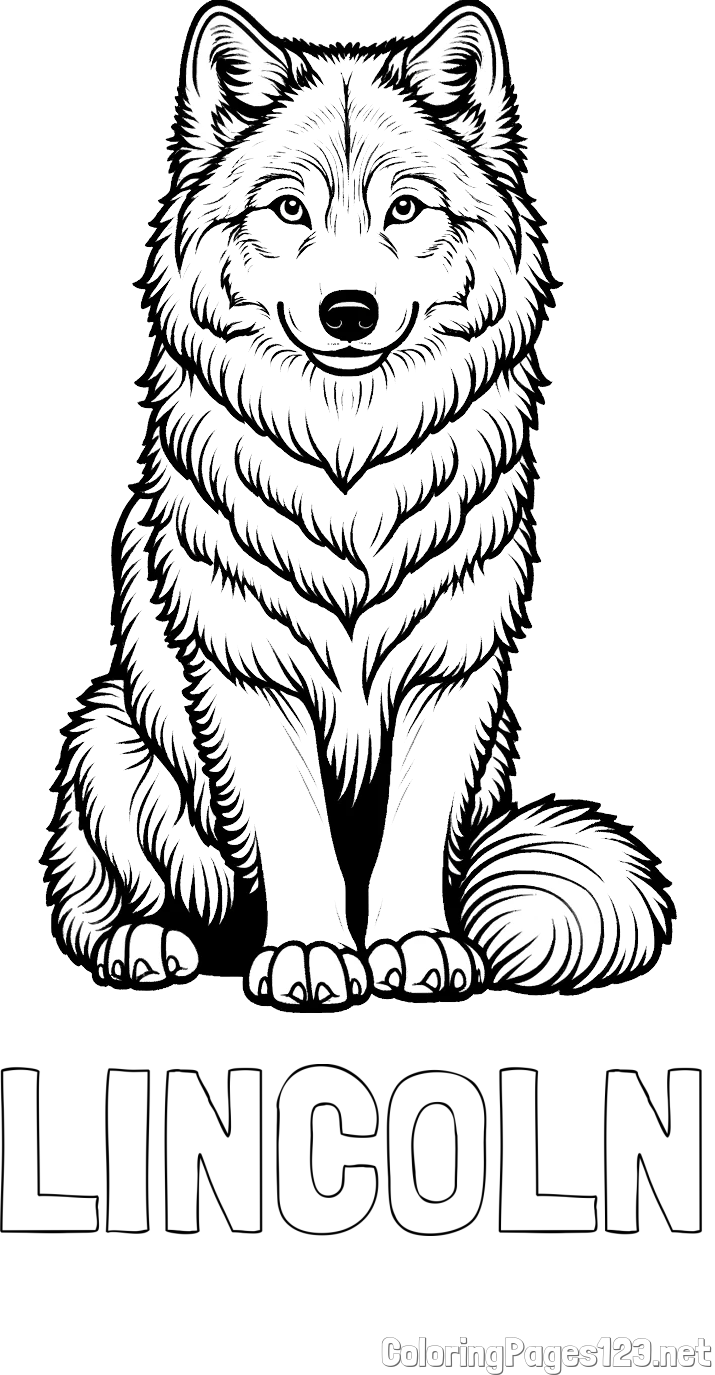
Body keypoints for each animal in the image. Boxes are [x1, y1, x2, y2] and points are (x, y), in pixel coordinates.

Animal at [43, 0, 674, 1008]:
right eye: (288, 208)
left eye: (405, 209)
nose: (349, 310)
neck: (350, 465)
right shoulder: (248, 674)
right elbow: (293, 830)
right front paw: (310, 953)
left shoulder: (453, 674)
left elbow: (413, 832)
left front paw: (415, 944)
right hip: (107, 735)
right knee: (108, 901)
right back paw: (149, 942)